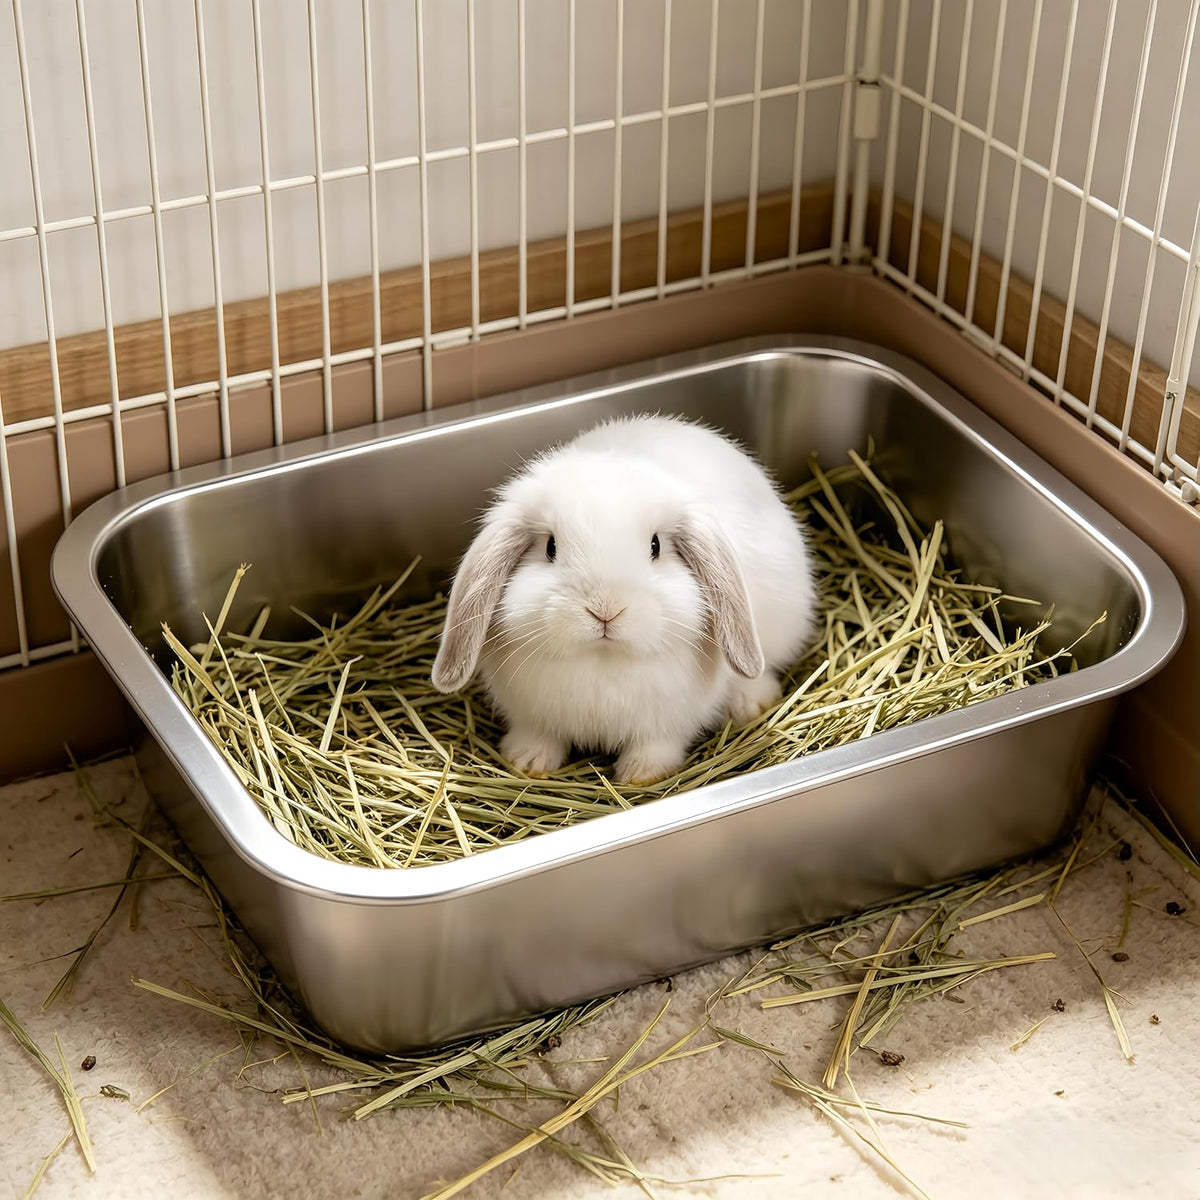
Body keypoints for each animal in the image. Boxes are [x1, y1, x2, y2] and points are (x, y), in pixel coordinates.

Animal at [431, 414, 817, 785]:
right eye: (551, 547)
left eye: (655, 546)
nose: (606, 610)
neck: (603, 660)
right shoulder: (532, 717)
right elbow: (539, 736)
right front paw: (526, 762)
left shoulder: (665, 725)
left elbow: (656, 746)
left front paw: (641, 775)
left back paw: (751, 703)